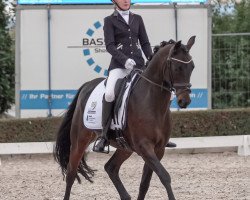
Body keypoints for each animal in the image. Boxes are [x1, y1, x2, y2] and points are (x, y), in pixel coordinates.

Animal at [54, 36, 195, 200]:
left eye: (192, 67)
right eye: (177, 67)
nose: (185, 101)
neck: (153, 103)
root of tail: (87, 85)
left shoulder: (158, 149)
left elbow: (145, 183)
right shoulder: (144, 147)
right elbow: (164, 176)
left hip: (125, 147)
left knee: (110, 167)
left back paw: (125, 195)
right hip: (79, 141)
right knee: (71, 173)